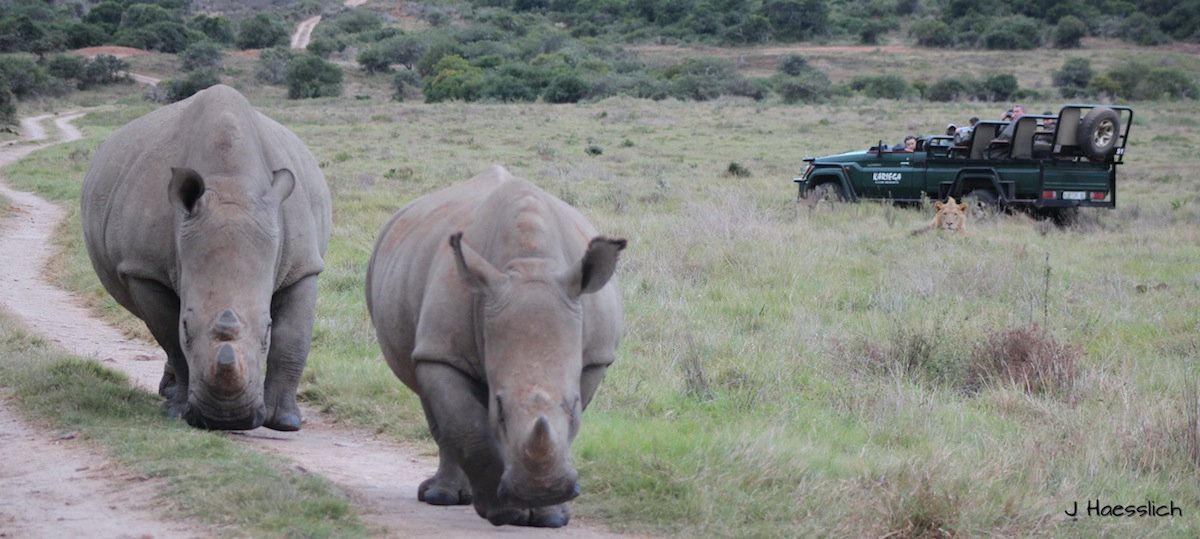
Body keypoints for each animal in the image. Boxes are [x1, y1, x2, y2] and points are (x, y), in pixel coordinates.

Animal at [82, 82, 331, 427]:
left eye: (266, 330)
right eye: (188, 327)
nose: (227, 419)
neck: (230, 185)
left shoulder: (303, 266)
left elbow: (292, 339)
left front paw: (285, 422)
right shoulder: (145, 268)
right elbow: (170, 336)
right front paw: (177, 412)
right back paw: (170, 395)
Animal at [364, 165, 628, 528]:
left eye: (573, 406)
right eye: (499, 411)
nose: (540, 491)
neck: (531, 263)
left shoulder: (594, 359)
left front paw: (549, 517)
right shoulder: (442, 352)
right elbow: (469, 428)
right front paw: (506, 511)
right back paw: (442, 496)